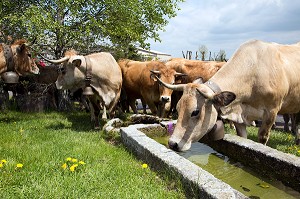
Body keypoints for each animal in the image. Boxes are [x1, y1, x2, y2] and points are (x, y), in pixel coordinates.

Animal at [154, 39, 300, 151]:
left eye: (195, 112)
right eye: (178, 109)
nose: (172, 143)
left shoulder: (271, 112)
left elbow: (262, 138)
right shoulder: (240, 116)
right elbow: (243, 138)